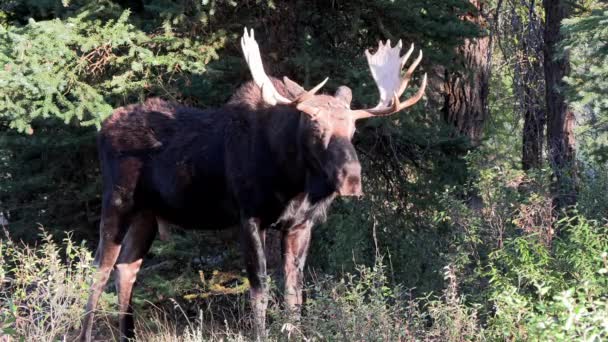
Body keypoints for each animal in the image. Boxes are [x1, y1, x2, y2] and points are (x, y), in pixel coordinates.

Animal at [77, 28, 428, 340]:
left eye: (354, 128)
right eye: (315, 125)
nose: (351, 178)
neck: (292, 182)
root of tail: (101, 128)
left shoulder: (300, 224)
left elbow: (294, 292)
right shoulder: (249, 216)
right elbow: (259, 288)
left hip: (148, 214)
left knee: (126, 268)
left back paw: (128, 335)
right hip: (118, 202)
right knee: (99, 270)